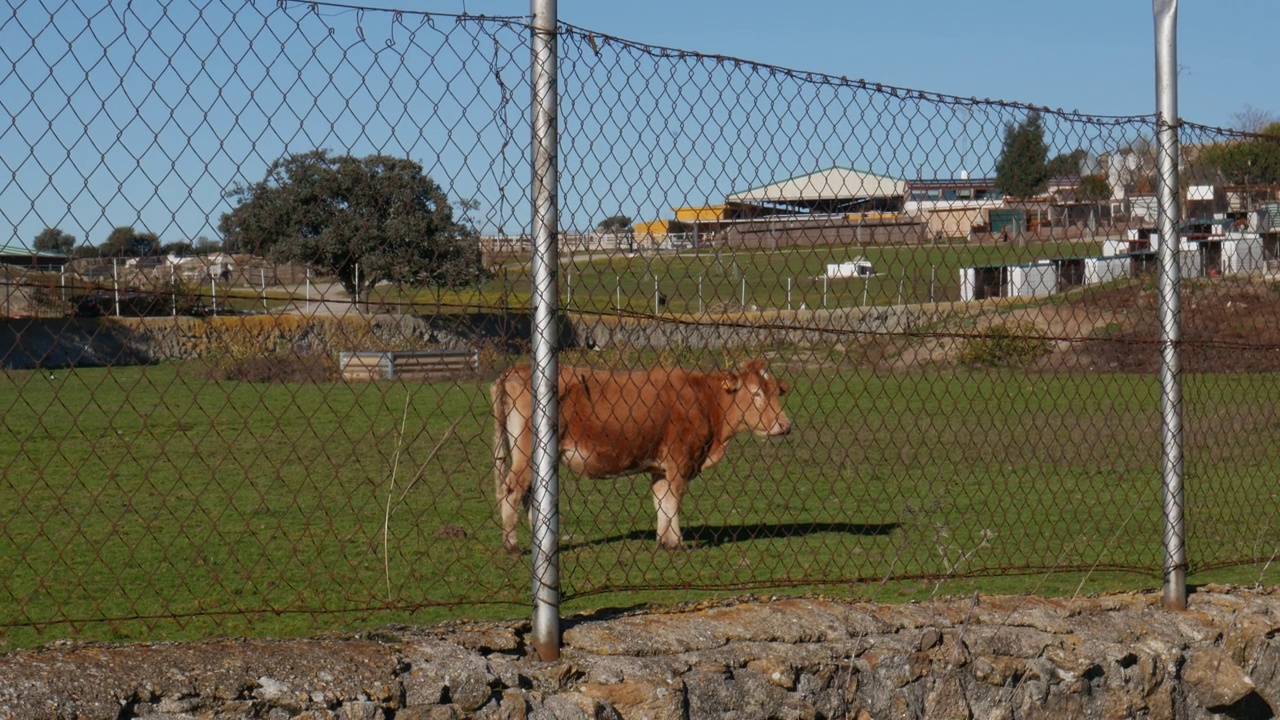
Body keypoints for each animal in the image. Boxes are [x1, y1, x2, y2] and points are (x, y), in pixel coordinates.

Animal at [488, 356, 788, 548]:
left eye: (776, 391)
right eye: (755, 393)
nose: (785, 425)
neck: (705, 401)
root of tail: (514, 370)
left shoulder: (661, 467)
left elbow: (661, 501)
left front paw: (665, 540)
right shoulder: (680, 461)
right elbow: (673, 500)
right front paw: (677, 542)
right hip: (526, 455)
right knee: (511, 492)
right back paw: (512, 545)